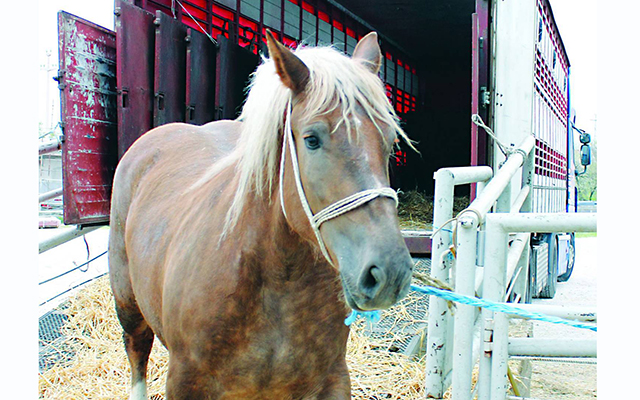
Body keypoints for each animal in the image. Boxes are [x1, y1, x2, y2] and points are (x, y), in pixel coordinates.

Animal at [108, 30, 414, 400]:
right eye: (312, 139)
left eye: (389, 142)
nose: (389, 272)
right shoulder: (184, 380)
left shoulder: (332, 379)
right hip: (128, 305)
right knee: (137, 350)